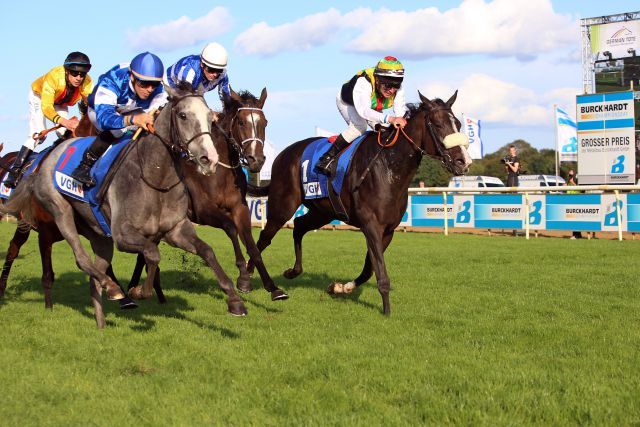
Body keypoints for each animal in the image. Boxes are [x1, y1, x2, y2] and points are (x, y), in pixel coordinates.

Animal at [1, 86, 248, 328]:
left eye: (210, 117)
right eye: (183, 115)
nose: (209, 159)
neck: (155, 176)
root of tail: (42, 161)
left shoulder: (176, 230)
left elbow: (207, 251)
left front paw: (235, 300)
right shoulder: (123, 235)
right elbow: (153, 254)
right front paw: (138, 291)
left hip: (100, 236)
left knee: (94, 277)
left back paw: (102, 322)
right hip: (60, 213)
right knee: (81, 259)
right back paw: (113, 288)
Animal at [127, 87, 288, 300]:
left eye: (265, 122)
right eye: (241, 122)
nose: (257, 160)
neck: (220, 172)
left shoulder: (239, 208)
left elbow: (252, 245)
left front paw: (272, 287)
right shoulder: (203, 211)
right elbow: (231, 228)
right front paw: (243, 277)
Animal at [245, 92, 470, 316]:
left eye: (458, 124)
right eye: (438, 124)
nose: (464, 161)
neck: (389, 168)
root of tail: (283, 155)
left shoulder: (388, 230)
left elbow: (369, 269)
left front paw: (340, 287)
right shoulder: (371, 225)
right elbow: (380, 272)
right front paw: (386, 311)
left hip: (323, 212)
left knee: (299, 226)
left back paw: (293, 271)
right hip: (282, 205)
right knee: (265, 237)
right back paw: (247, 277)